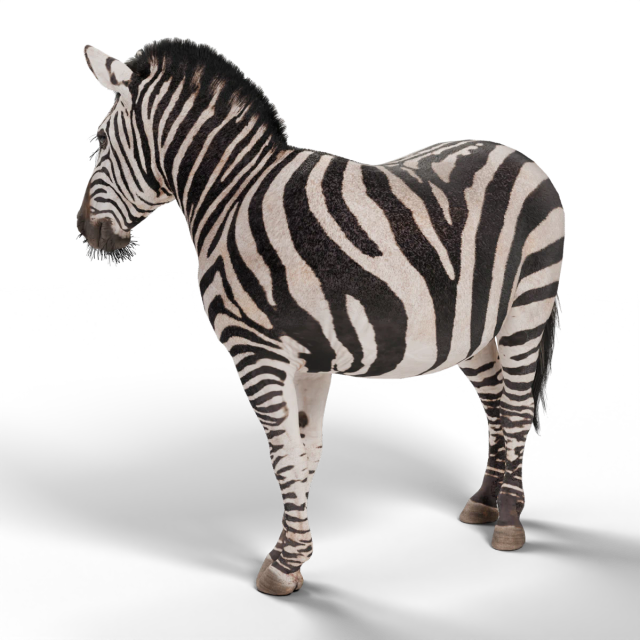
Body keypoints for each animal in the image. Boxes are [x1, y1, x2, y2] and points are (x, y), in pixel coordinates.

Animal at [77, 38, 565, 594]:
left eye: (98, 141)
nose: (86, 231)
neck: (232, 196)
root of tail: (520, 155)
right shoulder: (309, 359)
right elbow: (306, 449)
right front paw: (293, 554)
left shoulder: (257, 351)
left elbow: (283, 453)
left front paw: (284, 562)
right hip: (477, 331)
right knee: (495, 405)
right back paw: (485, 500)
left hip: (527, 306)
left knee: (518, 409)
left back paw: (508, 520)